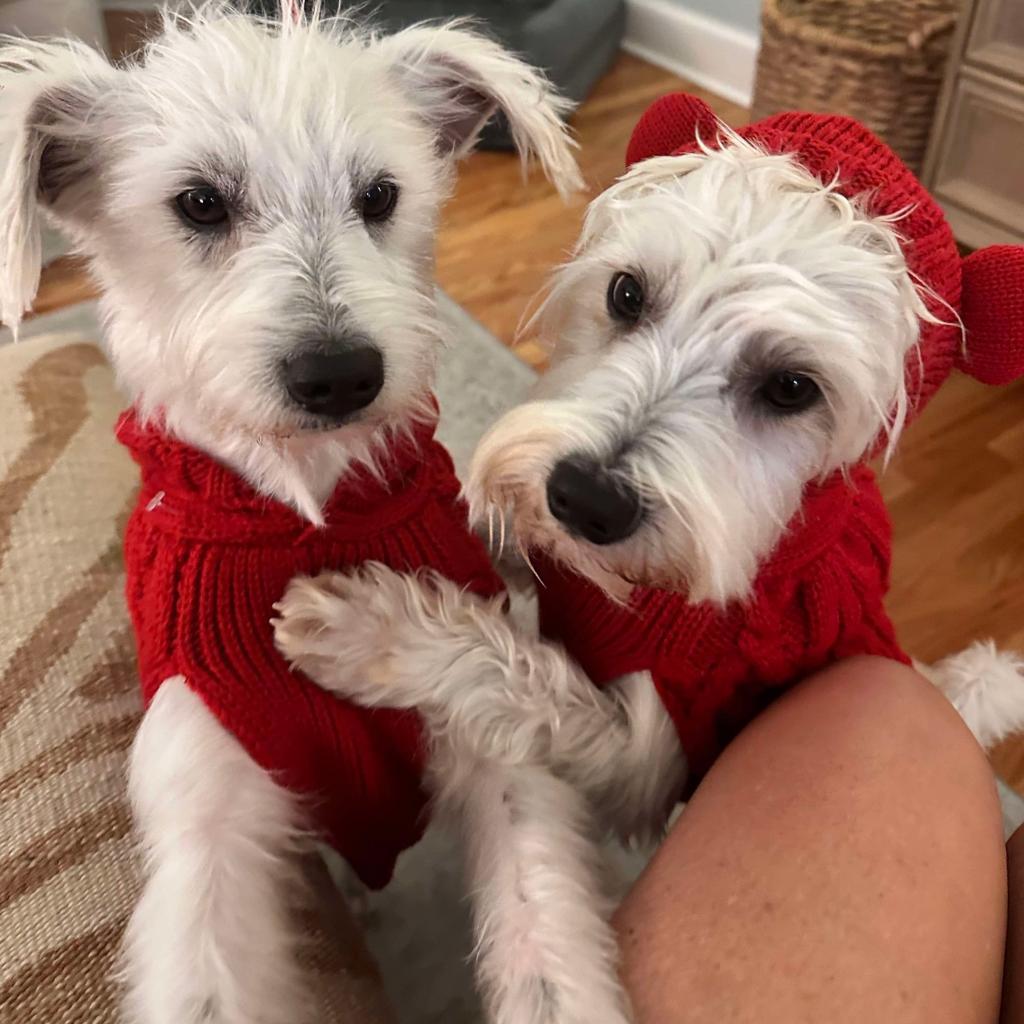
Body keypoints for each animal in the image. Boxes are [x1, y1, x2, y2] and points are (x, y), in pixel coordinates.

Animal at [0, 4, 585, 1019]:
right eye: (199, 203)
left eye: (381, 195)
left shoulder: (500, 749)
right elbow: (203, 983)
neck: (303, 510)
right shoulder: (205, 804)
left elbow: (549, 956)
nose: (340, 375)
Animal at [272, 92, 1024, 1019]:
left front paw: (375, 631)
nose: (586, 499)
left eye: (792, 388)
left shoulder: (649, 758)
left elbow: (530, 680)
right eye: (626, 293)